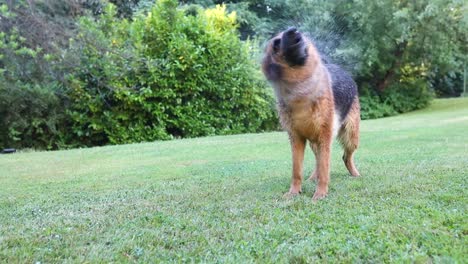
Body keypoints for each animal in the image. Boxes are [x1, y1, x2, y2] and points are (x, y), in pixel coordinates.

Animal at [262, 27, 360, 200]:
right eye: (276, 43)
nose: (293, 30)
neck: (301, 92)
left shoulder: (325, 136)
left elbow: (324, 168)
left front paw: (320, 193)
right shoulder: (296, 139)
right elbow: (297, 171)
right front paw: (294, 192)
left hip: (350, 136)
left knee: (345, 157)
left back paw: (355, 174)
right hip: (316, 141)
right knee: (319, 161)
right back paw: (313, 177)